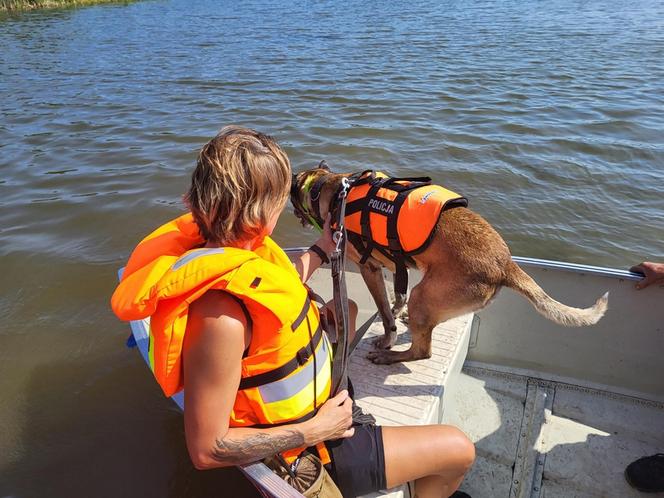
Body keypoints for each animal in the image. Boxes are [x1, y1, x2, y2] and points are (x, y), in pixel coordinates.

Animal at [294, 165, 608, 364]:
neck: (331, 187)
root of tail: (505, 263)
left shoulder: (369, 268)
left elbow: (384, 311)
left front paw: (387, 338)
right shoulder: (396, 266)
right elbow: (397, 297)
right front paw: (397, 313)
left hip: (424, 294)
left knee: (422, 351)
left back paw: (389, 356)